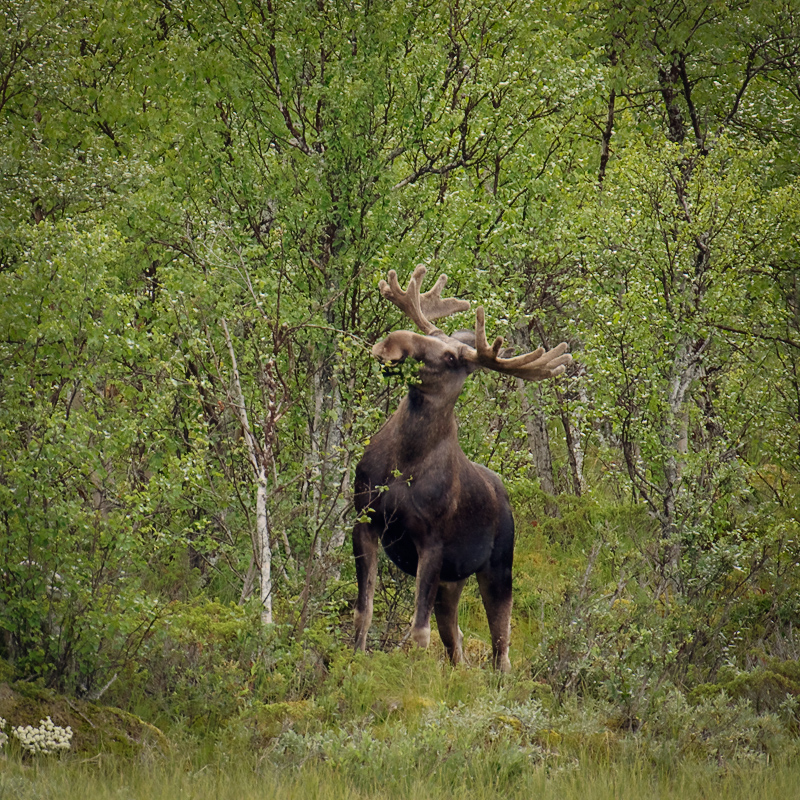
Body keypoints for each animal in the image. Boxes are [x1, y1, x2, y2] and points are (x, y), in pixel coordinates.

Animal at [352, 266, 568, 672]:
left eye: (452, 357)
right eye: (428, 336)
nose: (391, 343)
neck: (403, 462)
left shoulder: (432, 541)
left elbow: (419, 634)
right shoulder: (365, 520)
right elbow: (365, 610)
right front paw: (352, 659)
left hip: (498, 567)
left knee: (501, 647)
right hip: (451, 582)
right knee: (457, 641)